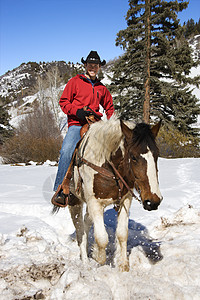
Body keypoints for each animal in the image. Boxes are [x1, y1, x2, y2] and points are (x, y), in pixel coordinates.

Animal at [67, 118, 162, 272]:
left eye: (157, 154)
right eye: (133, 157)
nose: (152, 201)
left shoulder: (125, 200)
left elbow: (122, 234)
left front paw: (123, 266)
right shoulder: (94, 203)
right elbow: (102, 238)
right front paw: (99, 258)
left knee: (86, 222)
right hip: (74, 202)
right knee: (80, 230)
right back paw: (85, 262)